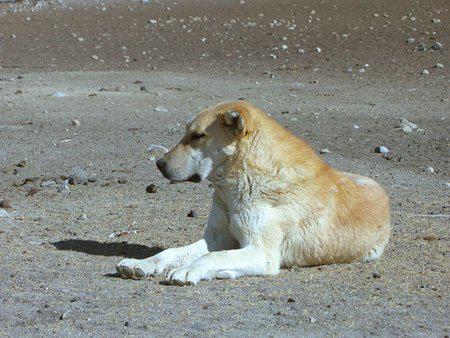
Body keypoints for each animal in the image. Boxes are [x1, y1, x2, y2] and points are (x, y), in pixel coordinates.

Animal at [117, 100, 390, 286]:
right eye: (187, 133)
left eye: (198, 136)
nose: (159, 164)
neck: (237, 185)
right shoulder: (217, 239)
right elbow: (171, 252)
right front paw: (141, 264)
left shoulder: (261, 253)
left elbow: (213, 258)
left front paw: (188, 270)